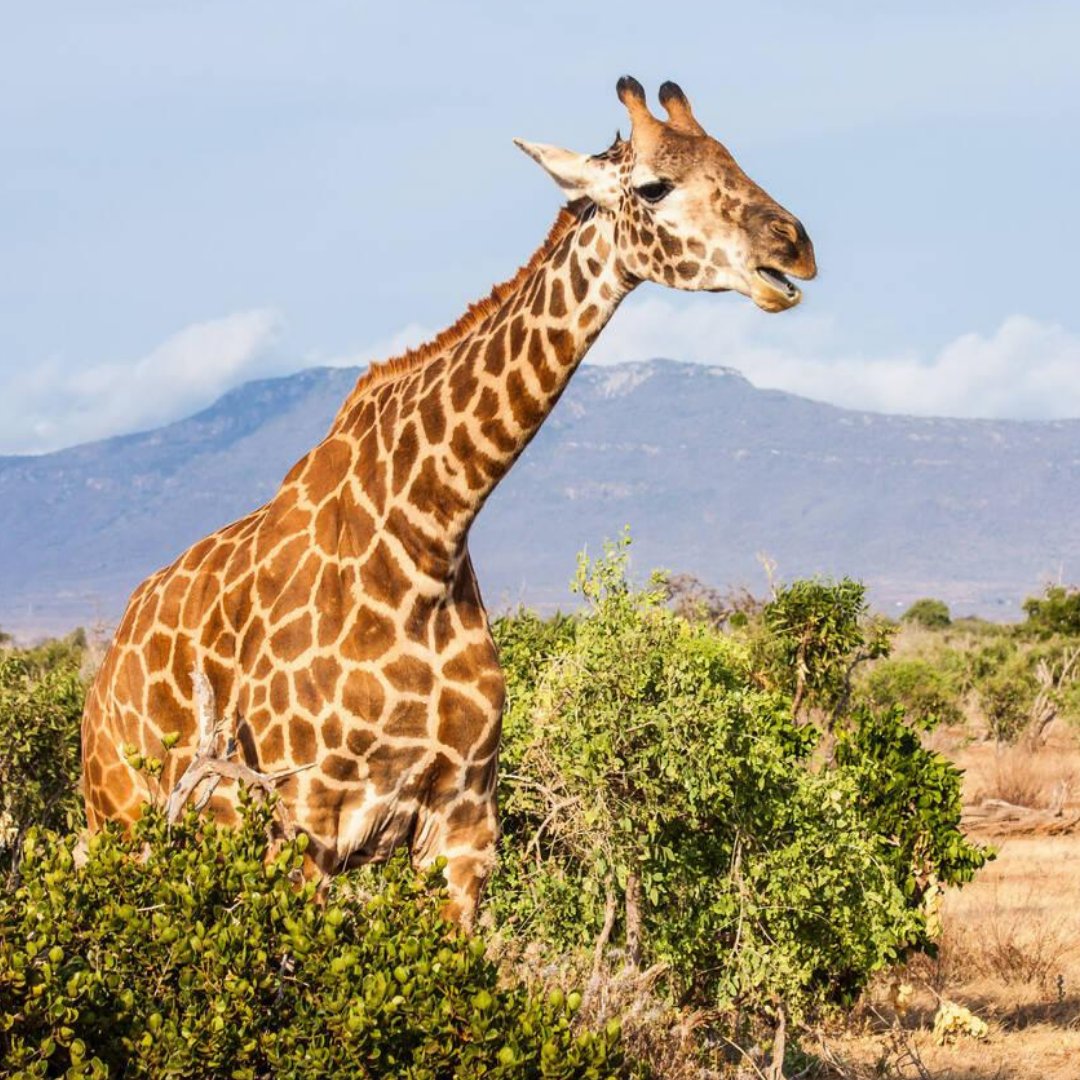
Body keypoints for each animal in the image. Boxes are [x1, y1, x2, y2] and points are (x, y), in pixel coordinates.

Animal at [81, 77, 816, 926]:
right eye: (656, 186)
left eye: (732, 155)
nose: (795, 245)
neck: (430, 532)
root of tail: (102, 676)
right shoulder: (302, 825)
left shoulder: (463, 824)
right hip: (122, 826)